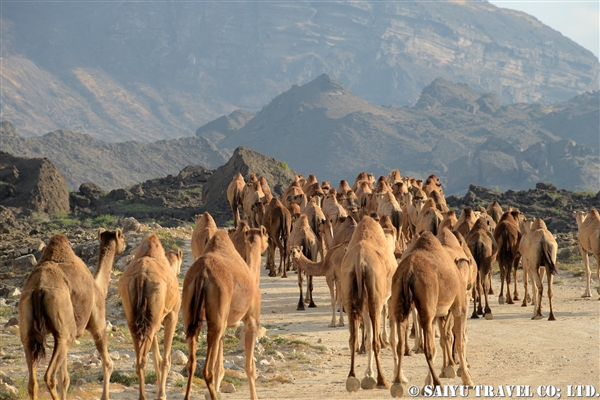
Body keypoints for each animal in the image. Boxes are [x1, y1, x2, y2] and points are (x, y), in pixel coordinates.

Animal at [19, 228, 125, 400]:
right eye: (122, 237)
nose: (125, 244)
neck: (99, 288)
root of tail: (38, 289)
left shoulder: (57, 335)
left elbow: (64, 378)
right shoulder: (98, 324)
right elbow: (108, 363)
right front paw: (105, 396)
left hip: (29, 326)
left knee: (33, 382)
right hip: (66, 330)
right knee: (49, 376)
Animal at [118, 234, 182, 400]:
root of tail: (141, 276)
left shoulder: (154, 319)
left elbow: (156, 358)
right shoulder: (172, 315)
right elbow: (165, 360)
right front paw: (161, 395)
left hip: (134, 318)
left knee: (140, 358)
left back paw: (142, 395)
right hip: (154, 316)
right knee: (144, 358)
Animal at [182, 227, 268, 400]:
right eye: (267, 237)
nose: (268, 244)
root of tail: (202, 273)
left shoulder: (223, 321)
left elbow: (219, 367)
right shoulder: (251, 319)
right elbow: (250, 366)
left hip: (193, 312)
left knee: (191, 363)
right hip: (219, 311)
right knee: (207, 370)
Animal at [340, 217, 396, 392]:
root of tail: (359, 262)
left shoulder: (363, 307)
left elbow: (367, 337)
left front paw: (368, 374)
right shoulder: (384, 299)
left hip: (349, 292)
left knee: (353, 339)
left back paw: (351, 377)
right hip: (374, 297)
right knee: (375, 341)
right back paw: (383, 380)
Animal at [390, 231, 474, 396]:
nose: (469, 286)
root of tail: (408, 271)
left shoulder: (435, 314)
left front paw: (427, 383)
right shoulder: (458, 307)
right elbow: (459, 341)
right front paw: (467, 380)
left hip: (400, 301)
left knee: (400, 344)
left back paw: (397, 384)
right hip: (427, 301)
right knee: (428, 348)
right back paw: (438, 384)